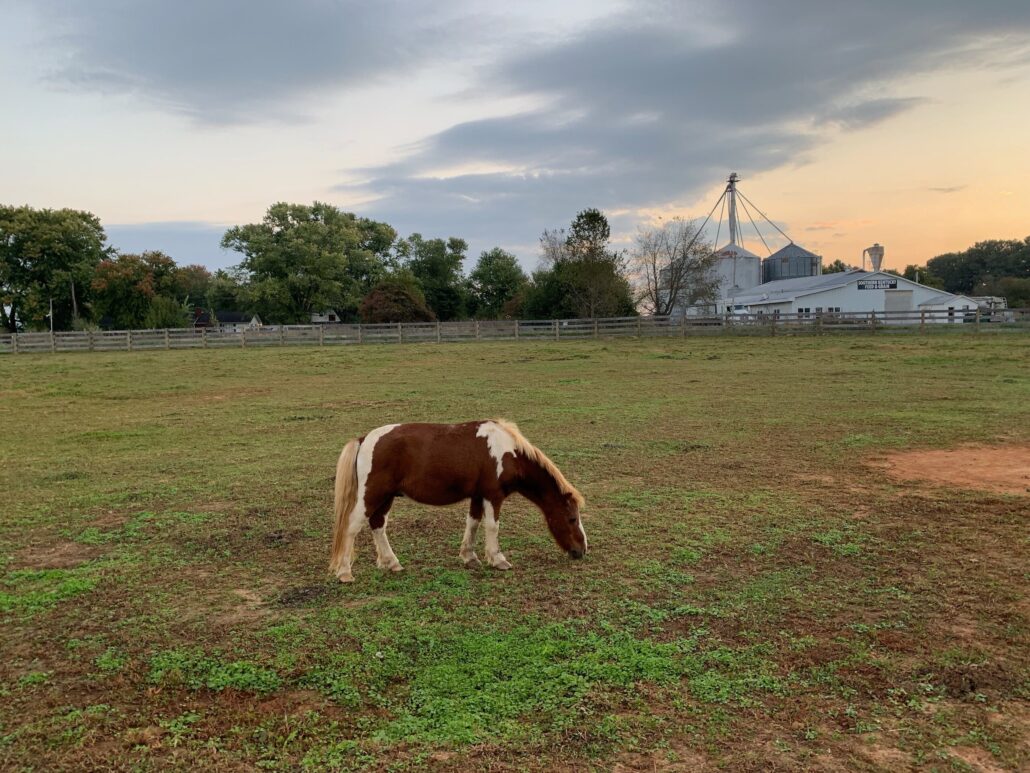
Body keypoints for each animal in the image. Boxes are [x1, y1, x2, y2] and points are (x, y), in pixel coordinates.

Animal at [329, 419, 587, 582]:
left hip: (385, 497)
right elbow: (492, 526)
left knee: (377, 525)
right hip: (372, 495)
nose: (582, 551)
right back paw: (345, 573)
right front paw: (498, 559)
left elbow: (472, 523)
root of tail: (365, 439)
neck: (507, 451)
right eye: (572, 519)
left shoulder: (478, 496)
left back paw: (391, 563)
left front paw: (469, 557)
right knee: (352, 527)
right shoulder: (493, 495)